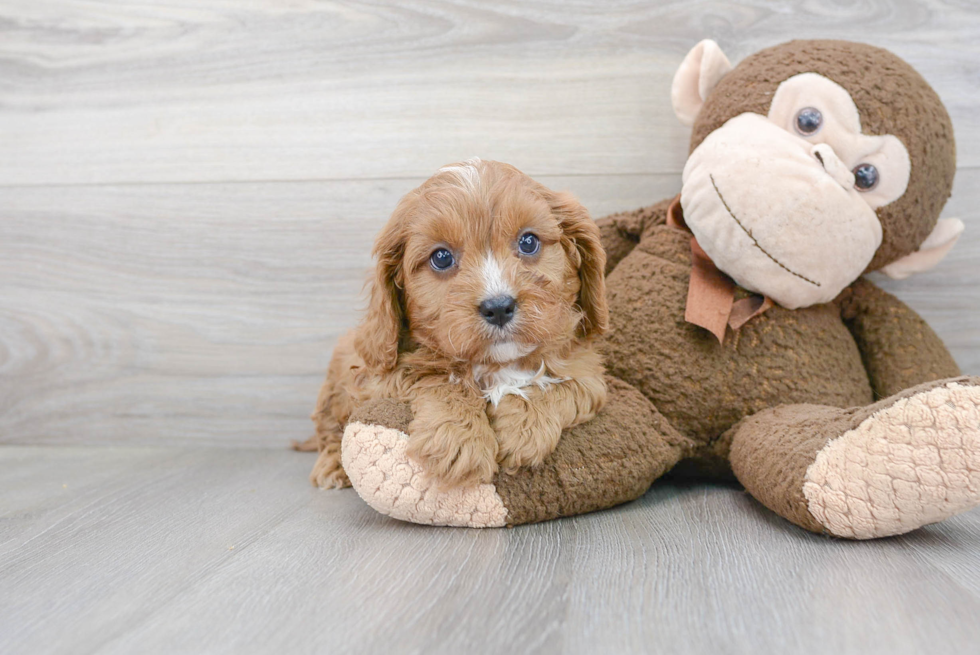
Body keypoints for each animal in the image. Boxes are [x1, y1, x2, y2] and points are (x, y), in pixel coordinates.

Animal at [302, 159, 608, 486]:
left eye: (529, 242)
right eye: (441, 257)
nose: (498, 307)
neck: (494, 364)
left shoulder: (586, 368)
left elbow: (559, 383)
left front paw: (524, 429)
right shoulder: (378, 378)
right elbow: (435, 378)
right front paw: (460, 440)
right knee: (328, 430)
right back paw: (333, 466)